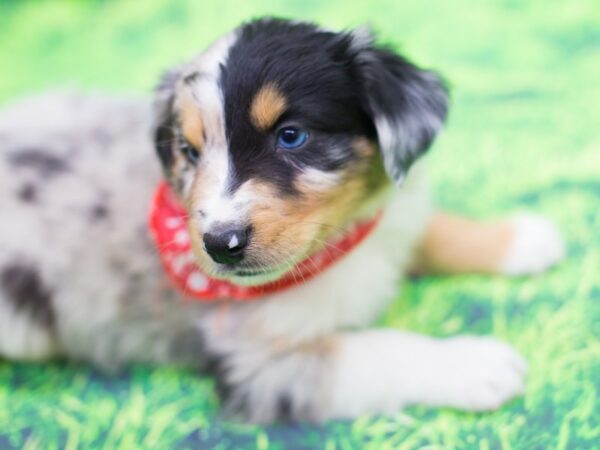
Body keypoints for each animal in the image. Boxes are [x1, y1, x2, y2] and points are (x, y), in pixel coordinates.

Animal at [0, 18, 564, 422]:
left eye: (291, 135)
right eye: (189, 151)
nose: (220, 243)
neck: (337, 245)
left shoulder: (390, 220)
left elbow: (430, 228)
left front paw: (520, 239)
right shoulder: (258, 362)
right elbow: (374, 350)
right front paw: (475, 364)